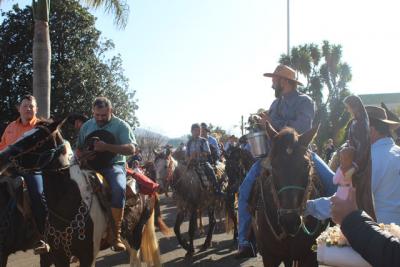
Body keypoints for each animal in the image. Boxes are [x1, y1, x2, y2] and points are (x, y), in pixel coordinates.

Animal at [0, 120, 164, 266]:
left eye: (36, 138)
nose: (3, 156)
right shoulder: (59, 255)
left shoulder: (88, 255)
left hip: (137, 232)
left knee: (135, 258)